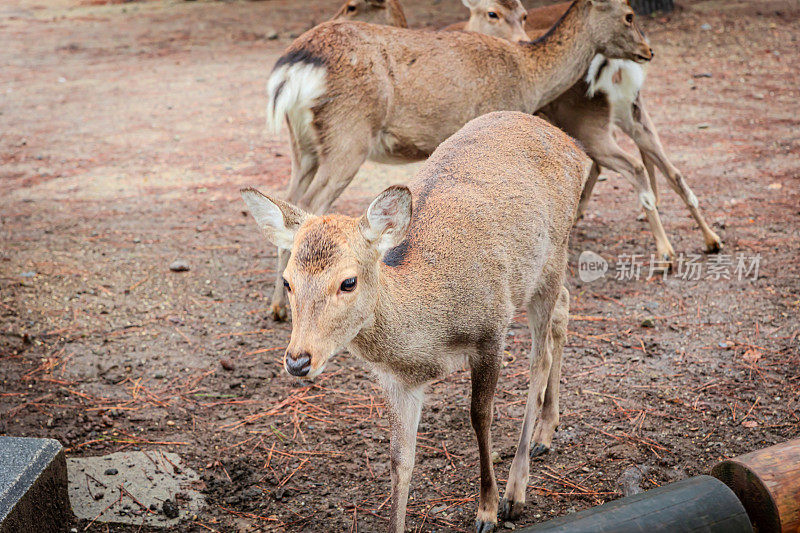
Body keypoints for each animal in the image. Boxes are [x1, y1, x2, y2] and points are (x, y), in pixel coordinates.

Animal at [241, 111, 592, 532]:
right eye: (287, 281)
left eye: (348, 281)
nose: (297, 360)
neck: (428, 341)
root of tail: (574, 146)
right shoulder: (396, 381)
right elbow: (399, 459)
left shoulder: (491, 329)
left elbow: (481, 417)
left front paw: (486, 510)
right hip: (541, 274)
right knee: (565, 307)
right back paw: (546, 432)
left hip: (552, 254)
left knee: (540, 359)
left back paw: (516, 490)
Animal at [262, 0, 648, 318]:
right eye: (629, 15)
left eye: (524, 14)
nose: (648, 50)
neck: (530, 77)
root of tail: (292, 69)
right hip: (348, 135)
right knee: (311, 205)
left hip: (304, 146)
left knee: (290, 199)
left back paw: (279, 305)